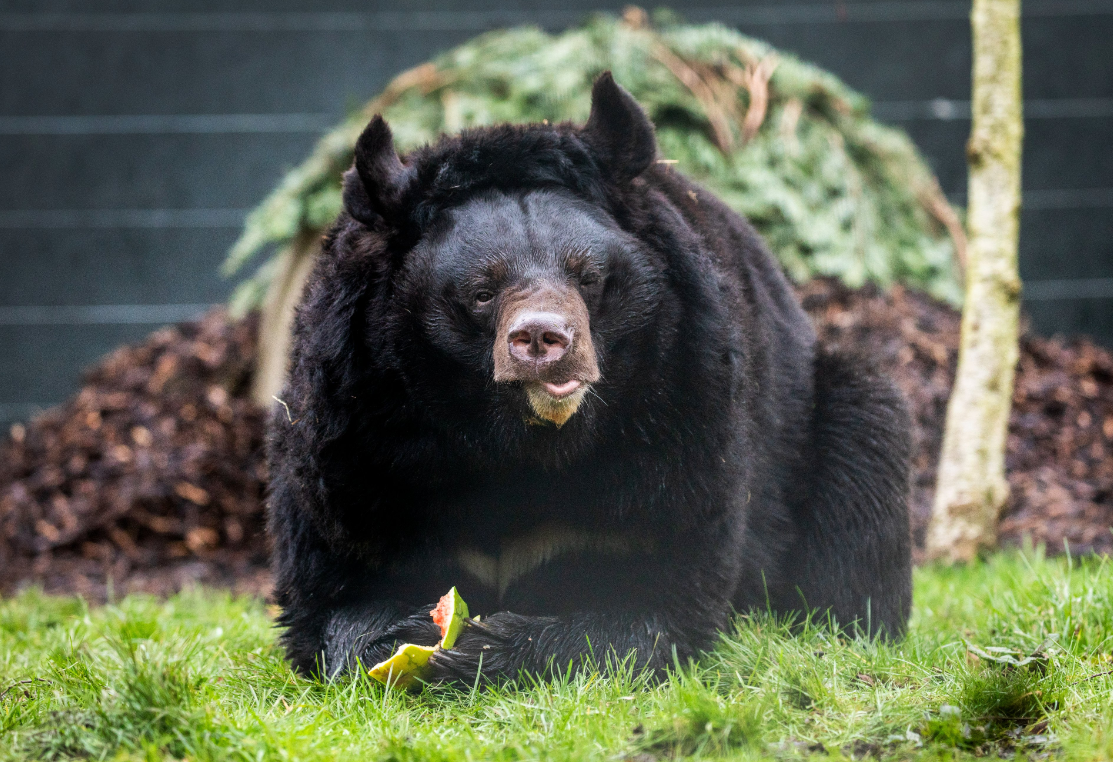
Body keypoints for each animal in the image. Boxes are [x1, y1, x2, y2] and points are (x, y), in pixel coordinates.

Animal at [267, 72, 913, 682]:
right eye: (481, 291)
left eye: (588, 277)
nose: (543, 341)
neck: (521, 443)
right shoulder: (355, 442)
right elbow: (333, 587)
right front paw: (407, 636)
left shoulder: (686, 417)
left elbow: (660, 596)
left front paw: (489, 648)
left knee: (862, 471)